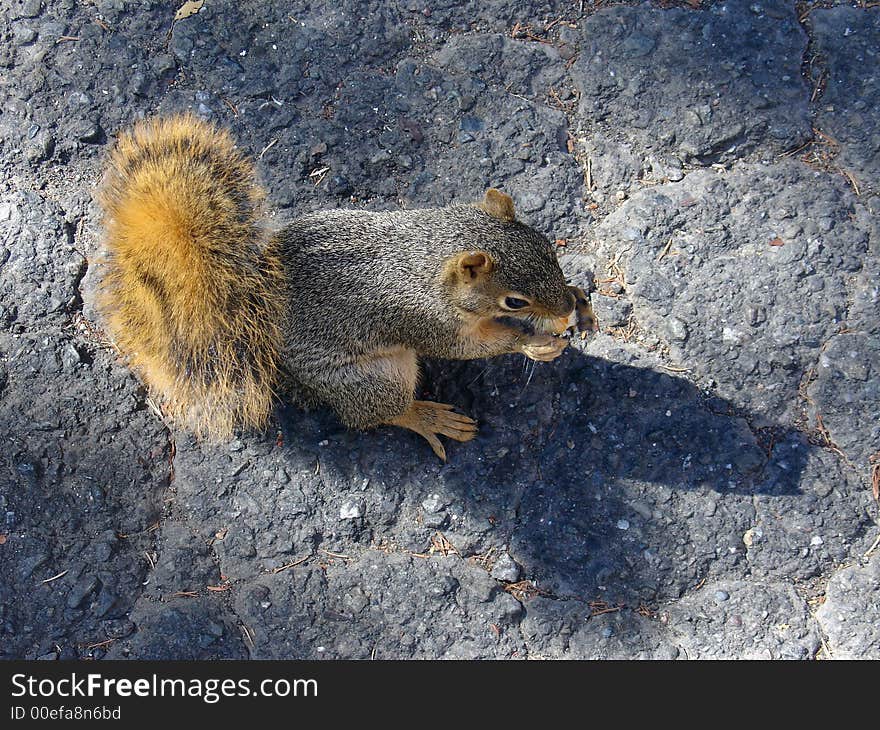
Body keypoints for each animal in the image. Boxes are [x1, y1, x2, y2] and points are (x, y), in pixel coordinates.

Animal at [96, 112, 596, 456]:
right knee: (377, 413)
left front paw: (578, 299)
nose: (561, 311)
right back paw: (425, 417)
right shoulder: (424, 320)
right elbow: (467, 348)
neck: (429, 256)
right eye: (514, 301)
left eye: (549, 249)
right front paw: (529, 343)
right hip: (372, 378)